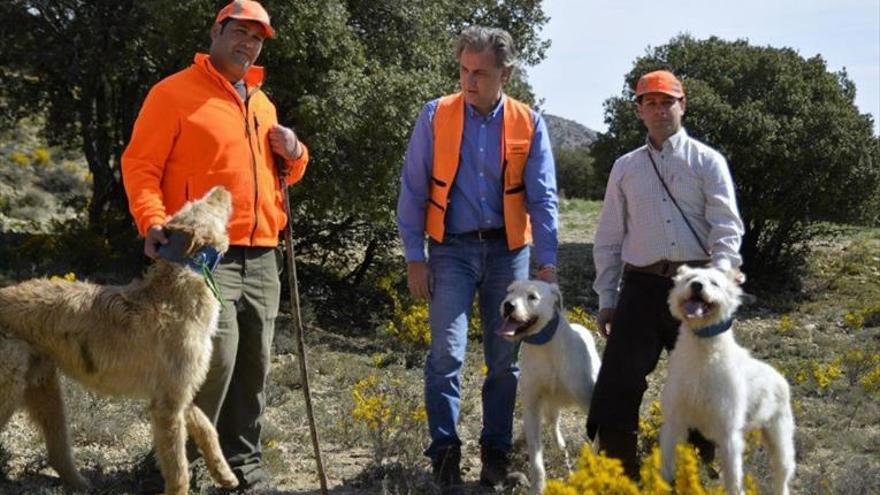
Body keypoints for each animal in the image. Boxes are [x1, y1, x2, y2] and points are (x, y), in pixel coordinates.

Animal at [0, 188, 239, 494]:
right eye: (200, 203)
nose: (222, 189)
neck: (179, 285)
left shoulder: (178, 393)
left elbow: (207, 426)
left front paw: (224, 473)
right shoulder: (168, 405)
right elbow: (178, 469)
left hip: (46, 391)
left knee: (57, 452)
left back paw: (82, 484)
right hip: (11, 386)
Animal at [498, 280, 600, 494]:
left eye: (532, 297)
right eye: (510, 292)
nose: (507, 305)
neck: (545, 346)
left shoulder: (591, 402)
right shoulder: (532, 405)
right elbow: (536, 459)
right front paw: (538, 487)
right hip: (550, 406)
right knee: (552, 423)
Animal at [660, 268, 796, 495]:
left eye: (714, 283)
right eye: (689, 279)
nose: (697, 285)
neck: (702, 351)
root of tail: (780, 377)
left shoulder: (728, 432)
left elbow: (733, 478)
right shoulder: (674, 421)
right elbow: (667, 465)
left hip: (780, 437)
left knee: (782, 476)